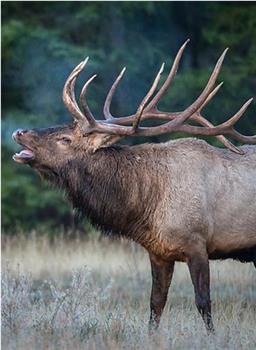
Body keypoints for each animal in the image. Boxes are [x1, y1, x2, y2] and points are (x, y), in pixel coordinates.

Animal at [12, 39, 256, 332]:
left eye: (65, 139)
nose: (19, 132)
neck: (147, 205)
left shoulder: (198, 242)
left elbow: (203, 303)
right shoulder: (159, 252)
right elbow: (156, 305)